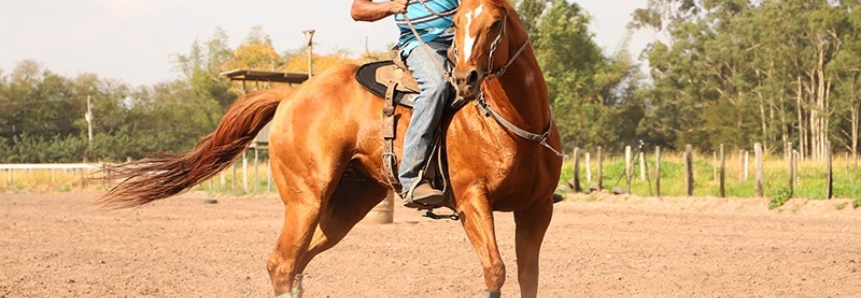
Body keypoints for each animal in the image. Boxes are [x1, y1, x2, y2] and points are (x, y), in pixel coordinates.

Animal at [97, 1, 560, 296]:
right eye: (459, 20)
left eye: (496, 22)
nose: (464, 79)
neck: (515, 123)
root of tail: (288, 97)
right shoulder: (472, 201)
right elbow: (495, 271)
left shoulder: (537, 210)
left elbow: (530, 277)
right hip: (306, 198)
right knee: (282, 264)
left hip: (347, 205)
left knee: (298, 261)